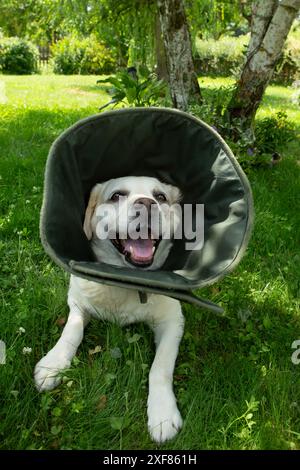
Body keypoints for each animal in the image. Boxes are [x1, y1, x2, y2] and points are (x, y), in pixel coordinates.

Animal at [35, 177, 185, 444]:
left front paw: (163, 414)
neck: (125, 280)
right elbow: (71, 332)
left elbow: (161, 367)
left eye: (160, 197)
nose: (147, 203)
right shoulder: (77, 303)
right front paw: (53, 364)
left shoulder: (173, 320)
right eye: (116, 196)